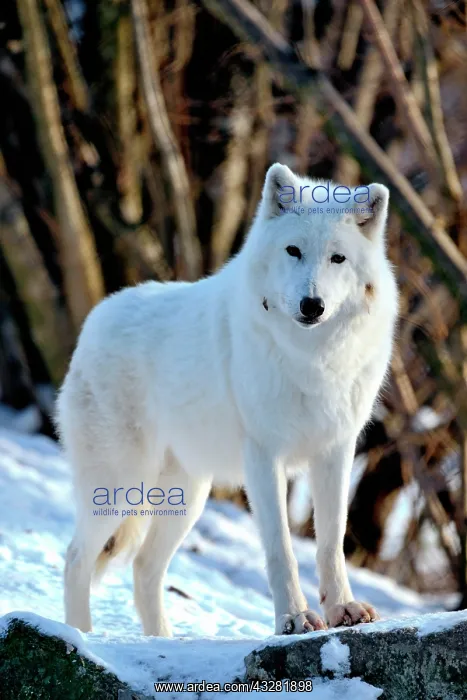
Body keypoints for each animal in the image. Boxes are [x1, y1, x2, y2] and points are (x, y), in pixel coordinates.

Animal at [56, 163, 398, 637]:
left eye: (337, 258)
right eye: (293, 250)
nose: (312, 305)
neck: (311, 358)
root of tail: (94, 319)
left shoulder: (335, 451)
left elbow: (331, 542)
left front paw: (342, 610)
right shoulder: (264, 457)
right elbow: (281, 549)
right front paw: (294, 619)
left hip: (186, 496)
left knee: (143, 568)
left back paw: (165, 642)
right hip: (121, 485)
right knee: (76, 558)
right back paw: (80, 636)